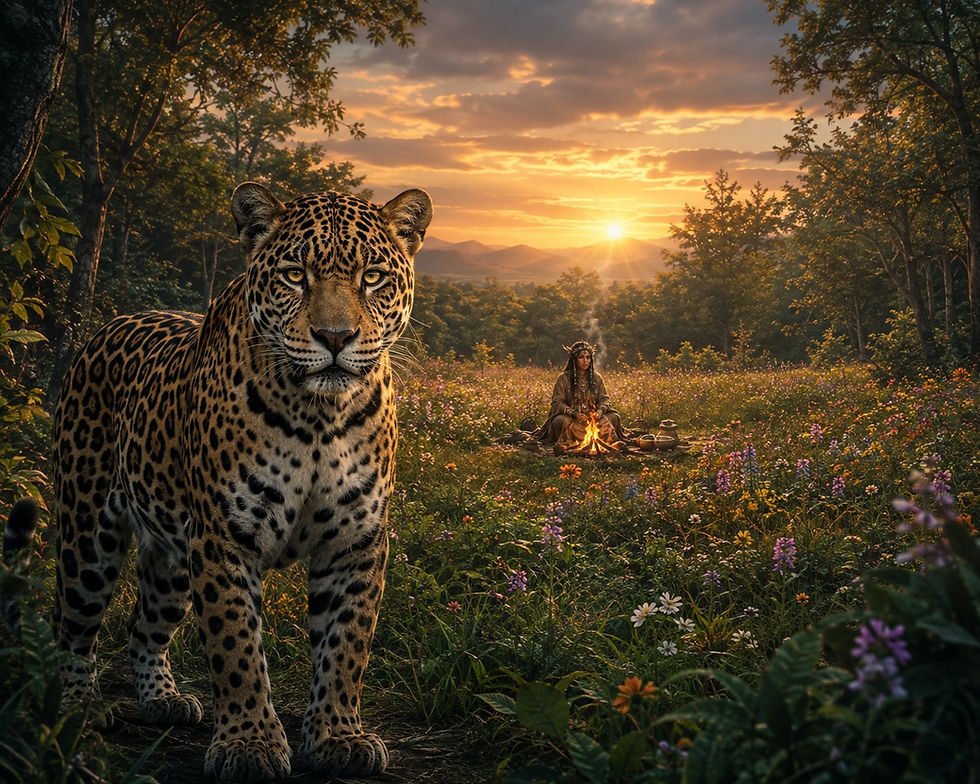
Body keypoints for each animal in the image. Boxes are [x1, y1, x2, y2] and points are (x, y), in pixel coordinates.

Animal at [22, 182, 431, 781]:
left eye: (373, 276)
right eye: (294, 275)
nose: (335, 337)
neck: (319, 415)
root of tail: (110, 324)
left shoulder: (355, 541)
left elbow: (346, 645)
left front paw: (339, 735)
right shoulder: (223, 538)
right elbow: (236, 646)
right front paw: (250, 744)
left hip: (171, 553)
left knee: (143, 625)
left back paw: (163, 700)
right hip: (86, 532)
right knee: (70, 626)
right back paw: (76, 710)